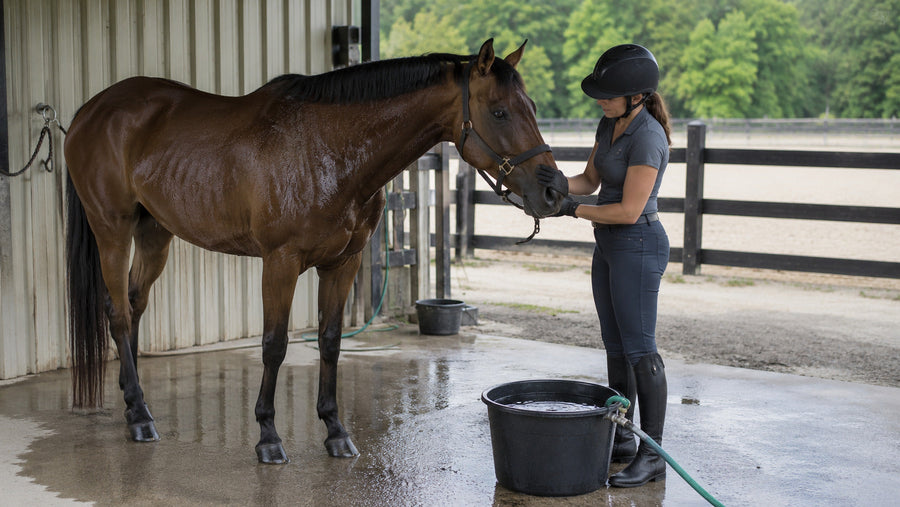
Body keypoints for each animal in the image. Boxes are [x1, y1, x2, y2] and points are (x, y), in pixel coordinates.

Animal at [63, 38, 561, 464]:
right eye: (499, 111)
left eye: (533, 108)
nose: (554, 192)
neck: (330, 149)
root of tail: (90, 111)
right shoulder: (280, 263)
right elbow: (274, 345)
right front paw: (268, 437)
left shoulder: (343, 264)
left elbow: (330, 341)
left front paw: (336, 431)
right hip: (112, 230)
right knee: (118, 314)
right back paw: (140, 418)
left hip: (155, 233)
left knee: (134, 305)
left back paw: (135, 403)